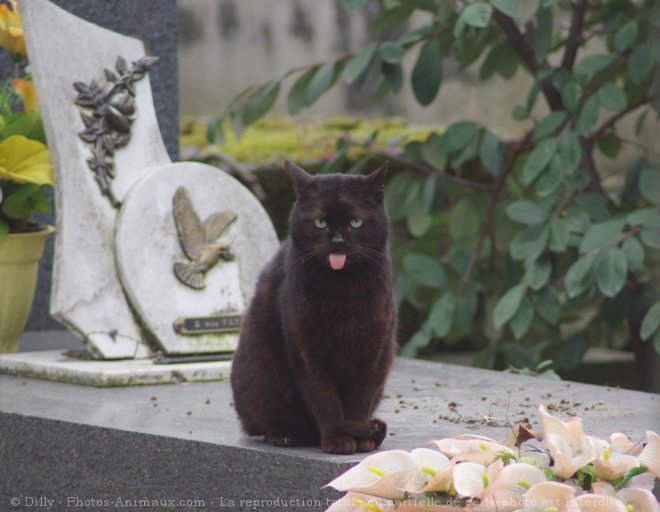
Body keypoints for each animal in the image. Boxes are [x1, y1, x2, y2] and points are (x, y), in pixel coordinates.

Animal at [232, 162, 398, 454]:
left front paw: (360, 437)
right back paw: (284, 435)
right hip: (259, 378)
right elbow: (324, 399)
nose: (337, 241)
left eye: (355, 222)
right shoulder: (306, 350)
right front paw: (337, 439)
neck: (342, 290)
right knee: (267, 422)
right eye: (320, 222)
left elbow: (360, 399)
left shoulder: (375, 349)